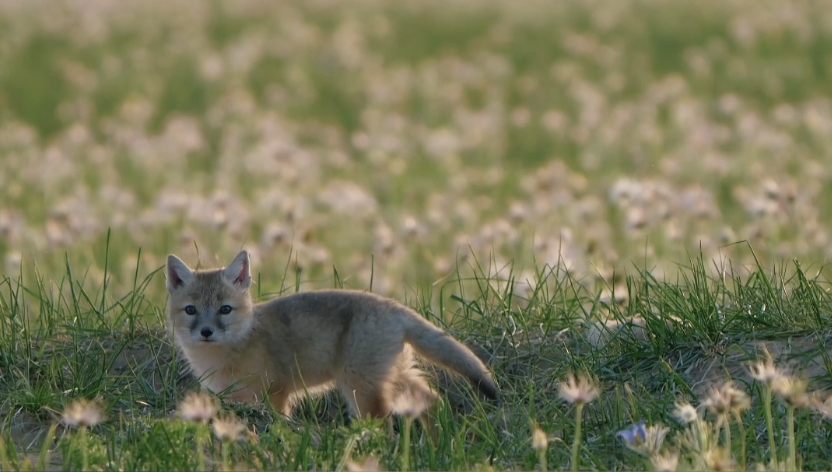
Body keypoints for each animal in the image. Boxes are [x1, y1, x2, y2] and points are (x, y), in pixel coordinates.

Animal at [165, 250, 499, 421]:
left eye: (225, 309)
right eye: (191, 310)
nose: (206, 332)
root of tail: (394, 306)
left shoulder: (277, 393)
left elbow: (281, 422)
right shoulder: (232, 399)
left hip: (360, 388)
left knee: (383, 421)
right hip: (396, 378)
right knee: (433, 401)